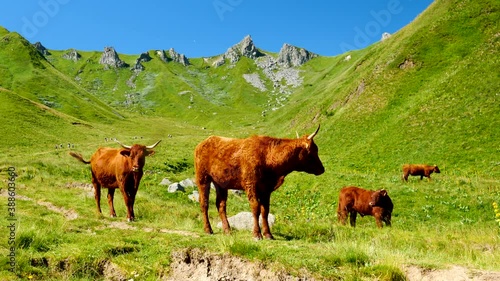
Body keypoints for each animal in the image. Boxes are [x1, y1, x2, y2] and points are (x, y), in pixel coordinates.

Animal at [193, 126, 326, 240]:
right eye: (314, 150)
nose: (322, 169)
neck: (268, 157)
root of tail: (205, 141)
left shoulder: (266, 189)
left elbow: (265, 211)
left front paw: (268, 234)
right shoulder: (251, 185)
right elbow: (255, 208)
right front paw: (257, 234)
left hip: (220, 183)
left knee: (221, 205)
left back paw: (227, 230)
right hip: (202, 178)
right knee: (204, 203)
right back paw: (208, 229)